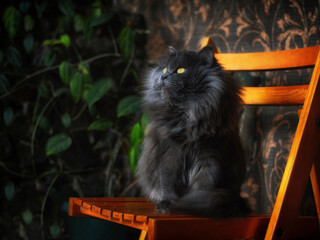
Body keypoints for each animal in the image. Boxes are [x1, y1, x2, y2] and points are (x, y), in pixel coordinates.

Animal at [136, 45, 249, 218]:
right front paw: (167, 203)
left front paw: (196, 205)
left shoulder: (209, 154)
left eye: (181, 70)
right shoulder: (169, 152)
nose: (164, 76)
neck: (187, 114)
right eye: (164, 69)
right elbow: (168, 181)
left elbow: (205, 184)